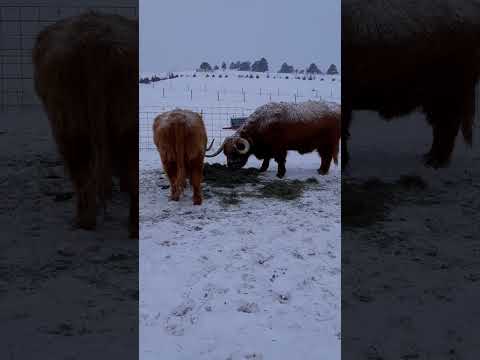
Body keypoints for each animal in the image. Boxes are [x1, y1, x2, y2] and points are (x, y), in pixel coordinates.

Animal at [207, 100, 342, 178]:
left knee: (327, 157)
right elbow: (266, 159)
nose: (231, 166)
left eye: (235, 152)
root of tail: (338, 109)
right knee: (324, 158)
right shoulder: (268, 148)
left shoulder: (279, 148)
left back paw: (323, 171)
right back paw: (320, 170)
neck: (262, 123)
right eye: (226, 153)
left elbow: (280, 160)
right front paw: (262, 169)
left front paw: (280, 174)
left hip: (327, 144)